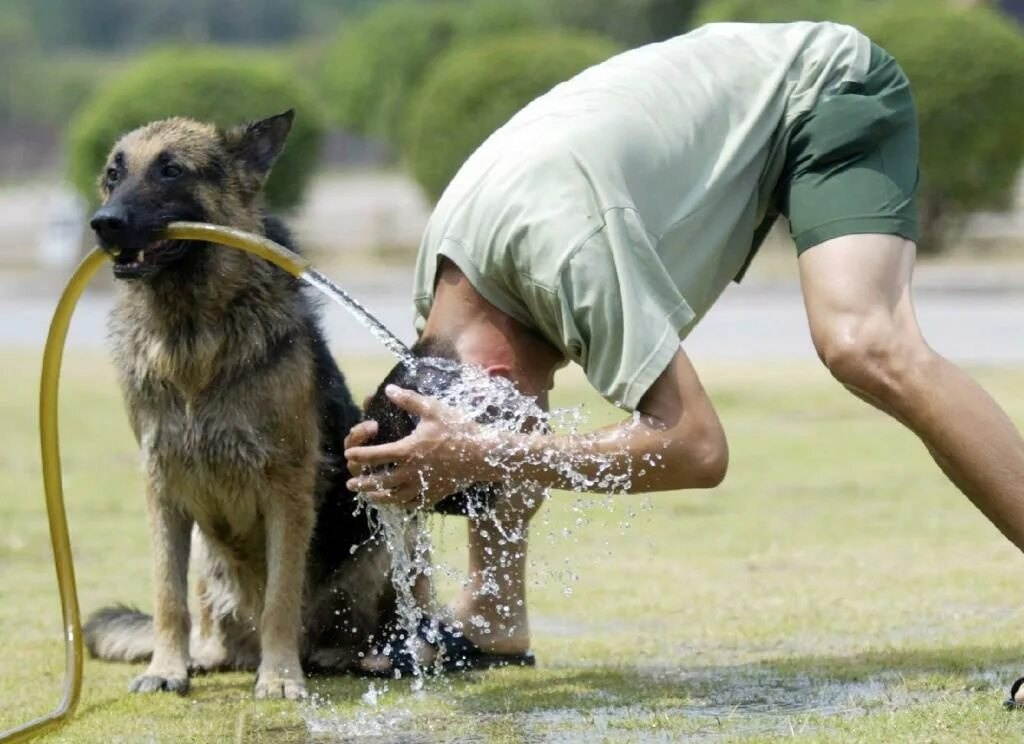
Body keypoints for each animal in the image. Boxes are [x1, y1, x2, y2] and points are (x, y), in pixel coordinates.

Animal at [80, 108, 395, 699]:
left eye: (171, 170)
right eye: (114, 174)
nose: (103, 223)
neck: (191, 335)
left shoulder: (287, 489)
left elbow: (280, 600)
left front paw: (280, 677)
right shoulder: (162, 488)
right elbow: (167, 595)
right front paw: (166, 668)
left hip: (384, 528)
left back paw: (354, 656)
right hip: (209, 561)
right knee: (211, 625)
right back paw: (207, 657)